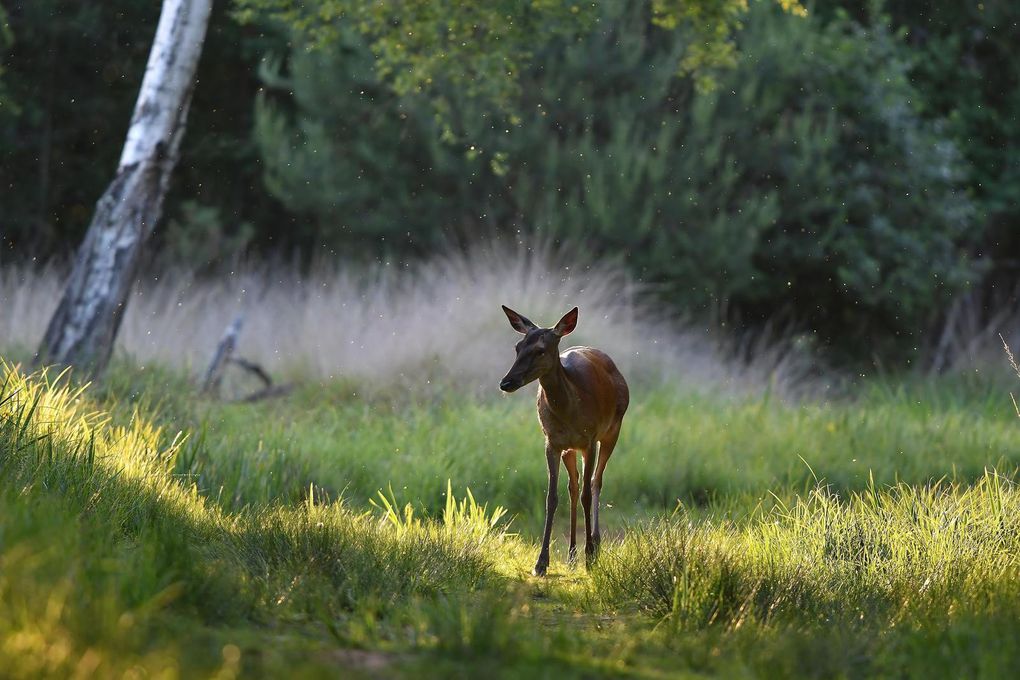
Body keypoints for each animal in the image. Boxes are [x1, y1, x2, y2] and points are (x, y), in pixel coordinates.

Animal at [497, 305, 624, 579]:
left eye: (540, 350)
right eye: (517, 346)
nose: (506, 382)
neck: (571, 410)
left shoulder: (589, 439)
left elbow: (587, 492)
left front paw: (590, 557)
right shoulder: (552, 442)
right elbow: (552, 497)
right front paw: (541, 563)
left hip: (612, 430)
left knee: (595, 482)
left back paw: (595, 545)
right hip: (570, 449)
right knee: (573, 488)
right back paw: (572, 555)